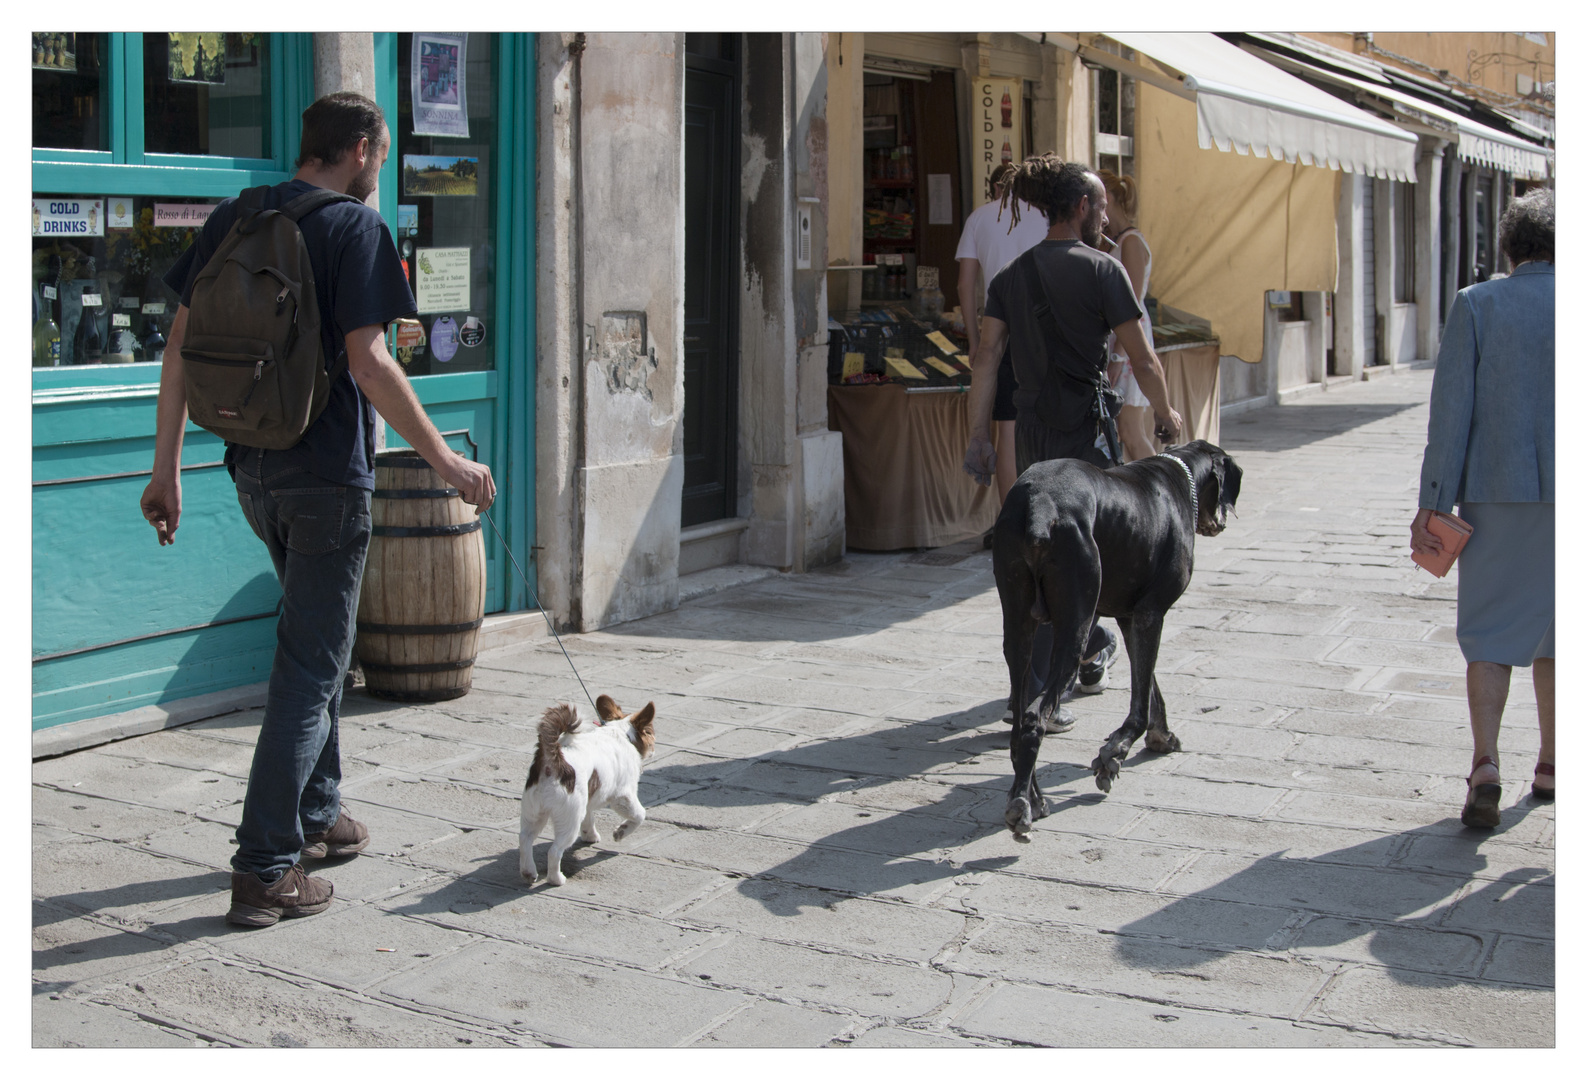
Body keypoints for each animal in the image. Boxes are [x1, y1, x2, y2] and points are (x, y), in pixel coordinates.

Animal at [520, 691, 657, 881]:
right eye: (650, 732)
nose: (654, 747)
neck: (621, 734)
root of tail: (553, 761)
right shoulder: (623, 797)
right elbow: (639, 815)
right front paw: (620, 832)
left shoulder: (588, 799)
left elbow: (589, 818)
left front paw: (590, 836)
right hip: (569, 818)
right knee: (554, 851)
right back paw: (556, 879)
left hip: (534, 811)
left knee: (525, 839)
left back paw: (528, 872)